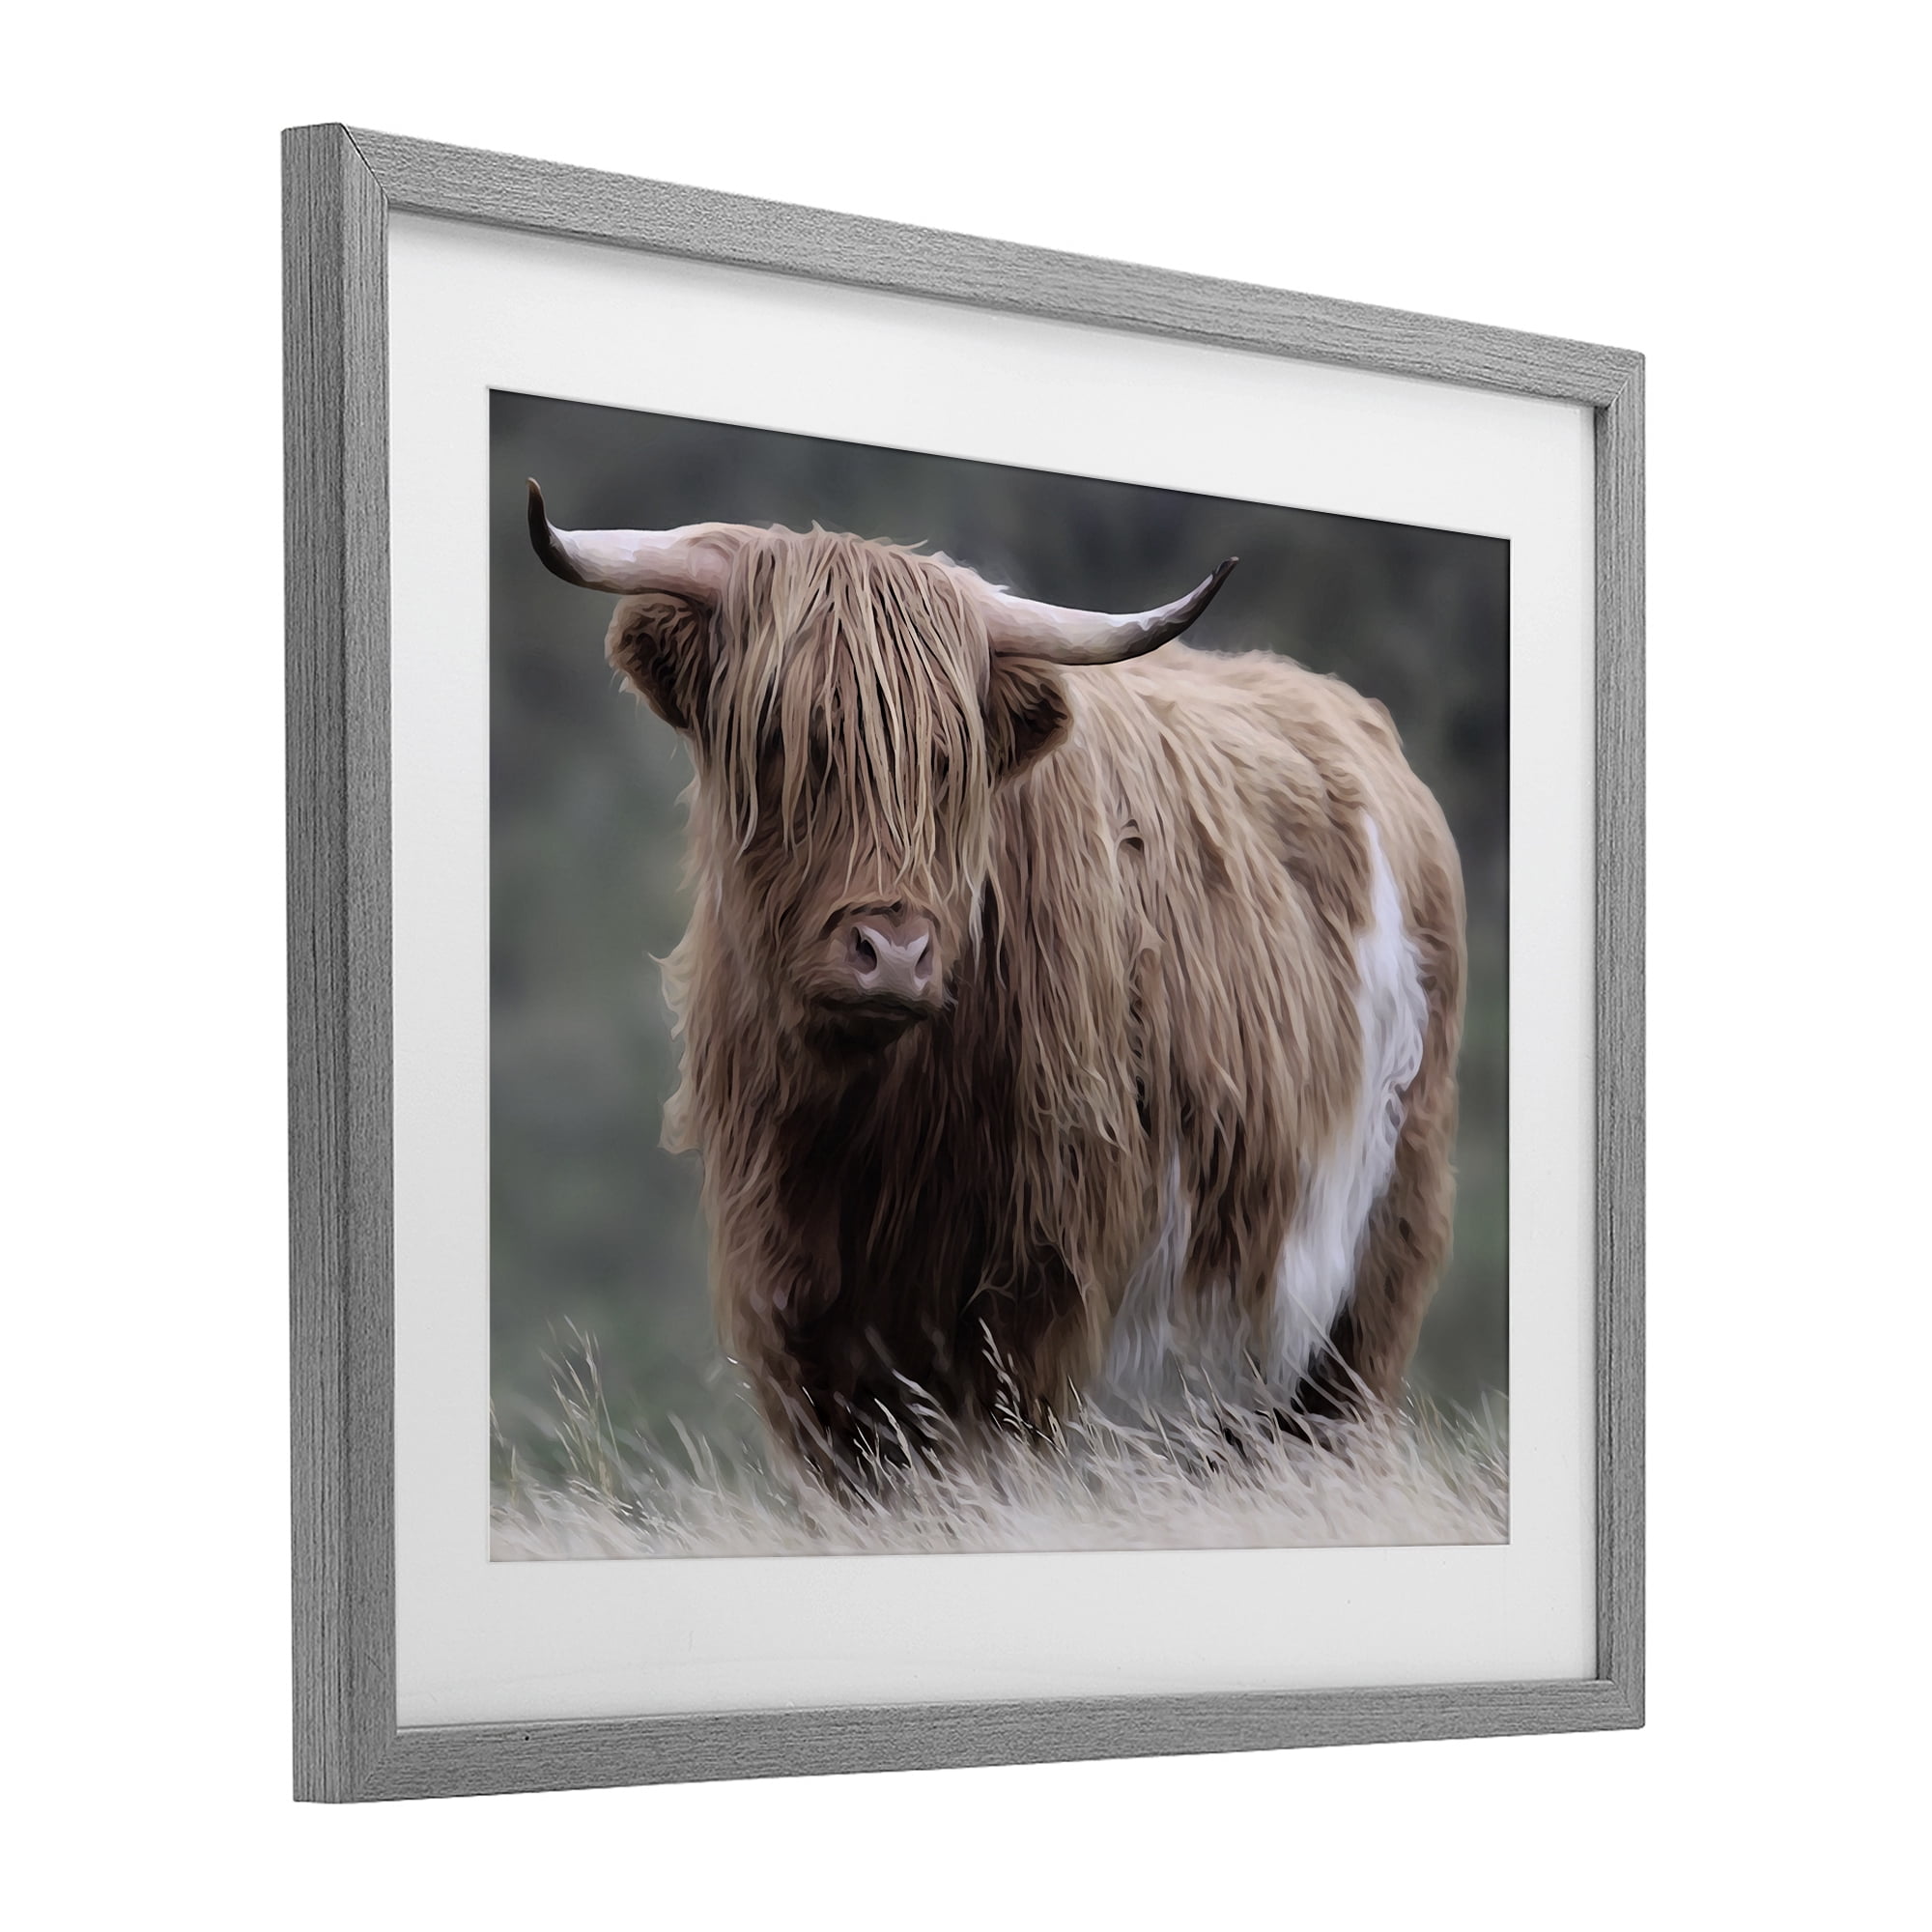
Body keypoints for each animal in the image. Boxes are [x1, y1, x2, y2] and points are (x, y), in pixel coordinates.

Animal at [528, 482, 1466, 1478]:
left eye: (950, 761)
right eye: (780, 739)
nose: (893, 950)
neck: (866, 1132)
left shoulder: (1035, 1311)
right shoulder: (798, 1325)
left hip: (1363, 1291)